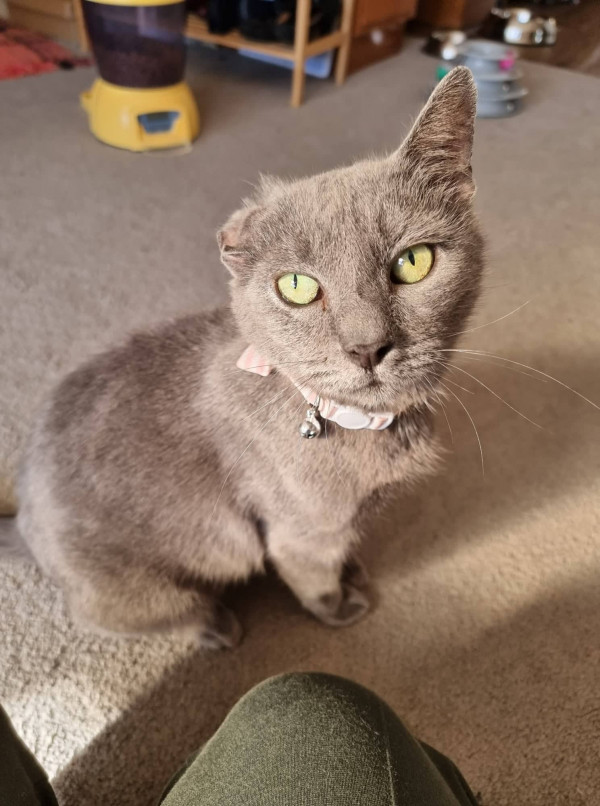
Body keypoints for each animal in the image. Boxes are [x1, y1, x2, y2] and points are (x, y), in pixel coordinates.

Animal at [15, 67, 483, 649]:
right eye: (298, 287)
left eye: (413, 262)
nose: (366, 346)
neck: (367, 426)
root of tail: (21, 522)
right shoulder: (303, 530)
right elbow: (314, 575)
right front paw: (342, 607)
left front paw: (355, 572)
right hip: (131, 589)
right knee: (113, 615)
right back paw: (216, 627)